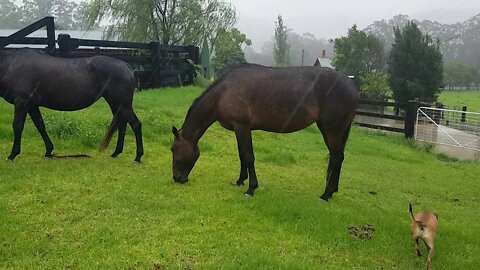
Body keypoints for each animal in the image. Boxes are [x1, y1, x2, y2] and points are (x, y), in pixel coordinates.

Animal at [0, 48, 142, 162]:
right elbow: (40, 126)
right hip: (117, 105)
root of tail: (126, 66)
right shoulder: (32, 105)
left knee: (136, 125)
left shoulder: (22, 103)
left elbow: (17, 127)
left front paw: (12, 155)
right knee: (122, 125)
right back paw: (116, 153)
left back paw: (138, 157)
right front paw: (49, 151)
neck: (11, 65)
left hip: (123, 105)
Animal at [172, 63, 360, 200]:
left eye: (173, 149)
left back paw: (326, 194)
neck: (224, 93)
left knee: (336, 158)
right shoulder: (239, 129)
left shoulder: (242, 127)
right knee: (337, 158)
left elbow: (248, 156)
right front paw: (240, 181)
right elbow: (242, 155)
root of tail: (352, 85)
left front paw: (251, 189)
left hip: (332, 130)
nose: (177, 178)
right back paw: (331, 191)